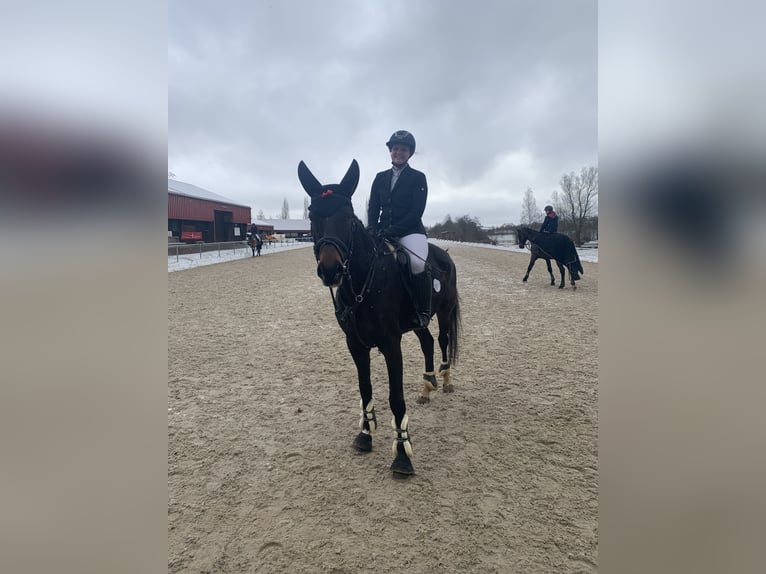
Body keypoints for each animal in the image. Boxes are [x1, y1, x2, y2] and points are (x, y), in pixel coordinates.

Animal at [298, 159, 461, 479]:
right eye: (312, 215)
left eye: (349, 217)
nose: (331, 270)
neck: (362, 283)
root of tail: (444, 255)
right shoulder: (355, 344)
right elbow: (365, 388)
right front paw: (365, 434)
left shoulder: (390, 344)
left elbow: (395, 398)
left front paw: (402, 455)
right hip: (417, 322)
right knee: (427, 342)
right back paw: (427, 386)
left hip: (444, 311)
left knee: (443, 340)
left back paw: (445, 380)